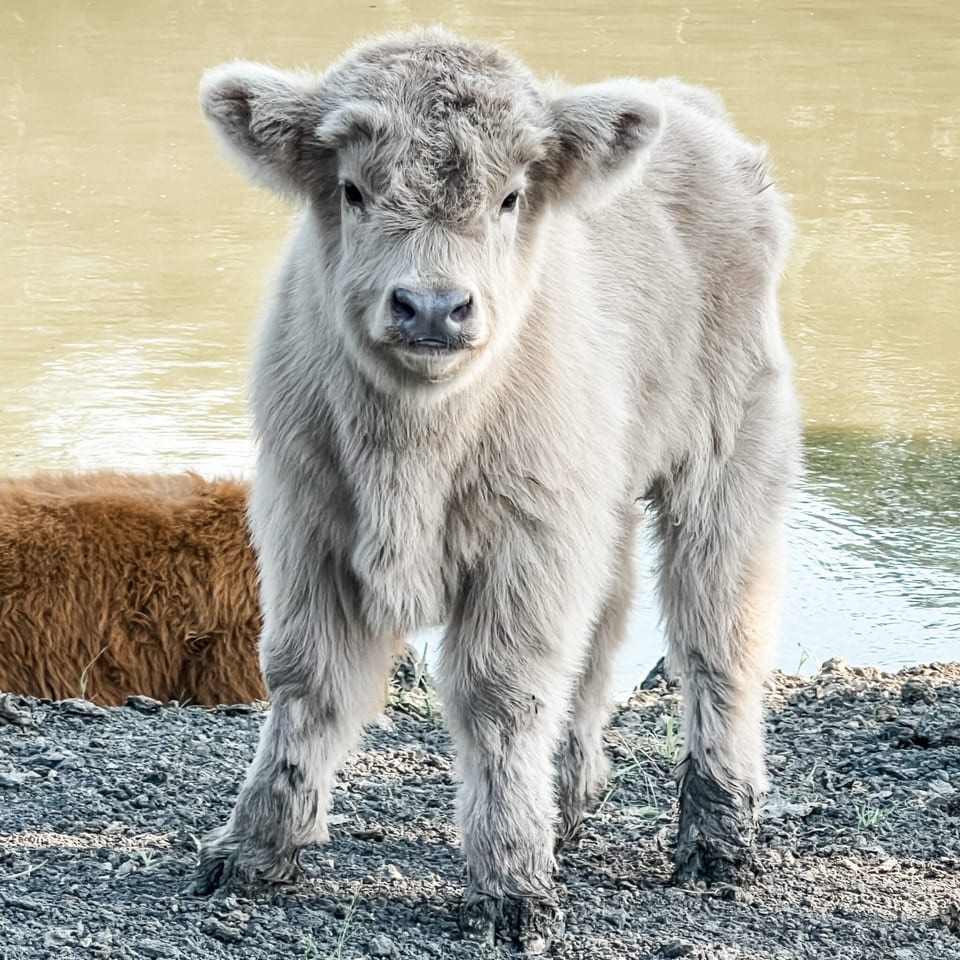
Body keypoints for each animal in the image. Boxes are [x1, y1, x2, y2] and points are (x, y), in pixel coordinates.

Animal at [190, 28, 800, 953]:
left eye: (511, 197)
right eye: (353, 190)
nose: (432, 308)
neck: (412, 447)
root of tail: (690, 108)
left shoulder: (526, 544)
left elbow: (500, 698)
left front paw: (512, 885)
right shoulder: (304, 520)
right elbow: (305, 680)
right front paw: (254, 849)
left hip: (728, 460)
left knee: (717, 636)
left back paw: (718, 839)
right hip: (600, 492)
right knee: (606, 623)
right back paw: (572, 801)